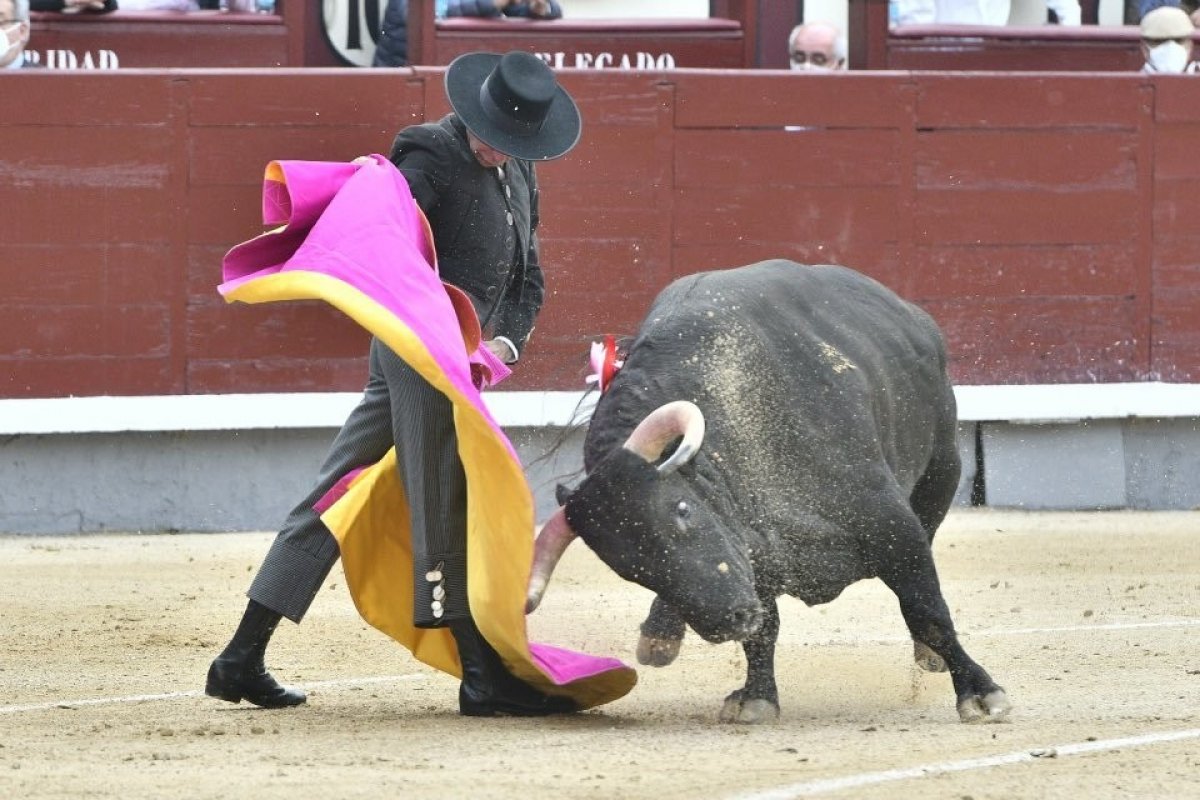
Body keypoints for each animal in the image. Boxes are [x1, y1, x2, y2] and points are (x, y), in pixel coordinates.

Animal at [530, 261, 1008, 724]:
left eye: (683, 509)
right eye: (627, 567)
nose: (726, 620)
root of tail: (912, 315)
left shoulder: (891, 524)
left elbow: (927, 611)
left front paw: (981, 693)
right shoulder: (754, 554)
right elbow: (764, 628)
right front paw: (757, 696)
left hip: (941, 471)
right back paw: (661, 633)